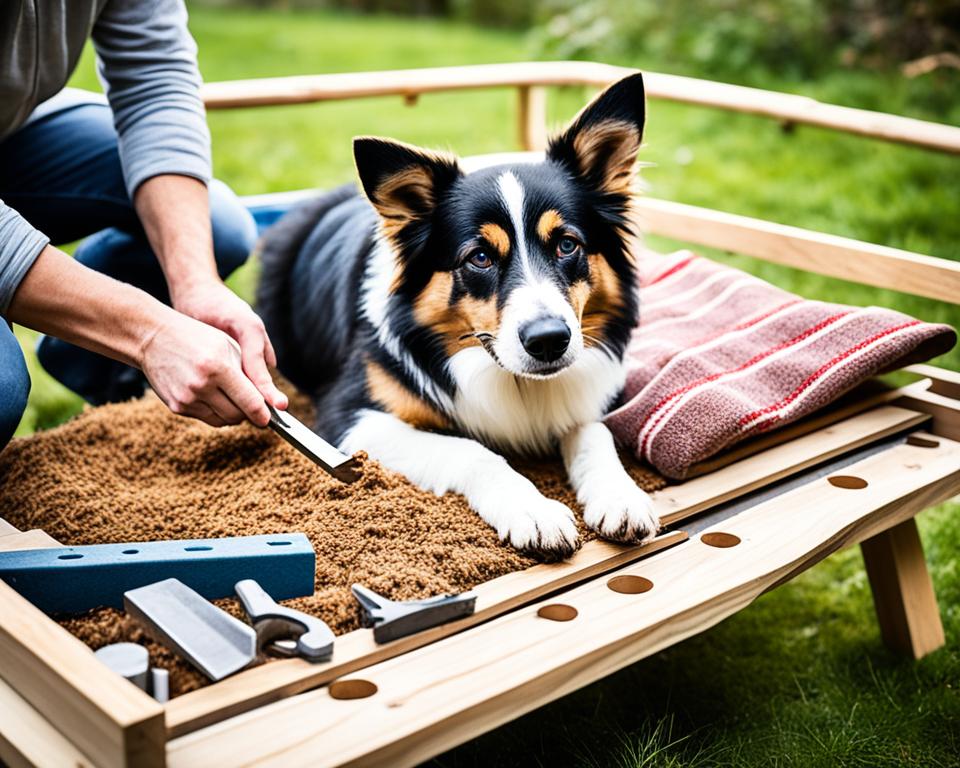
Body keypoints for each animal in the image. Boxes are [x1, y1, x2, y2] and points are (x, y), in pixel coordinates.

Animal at [255, 73, 660, 560]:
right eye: (480, 257)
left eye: (567, 244)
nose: (549, 340)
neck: (514, 381)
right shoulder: (348, 419)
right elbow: (470, 449)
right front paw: (534, 511)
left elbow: (595, 434)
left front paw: (621, 495)